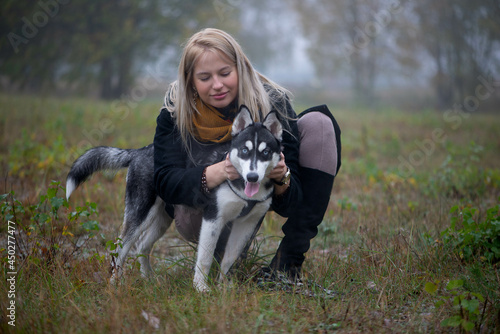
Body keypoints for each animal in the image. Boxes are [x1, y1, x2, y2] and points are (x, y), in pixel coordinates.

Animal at [66, 105, 282, 290]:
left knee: (142, 245)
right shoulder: (213, 218)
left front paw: (223, 287)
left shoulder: (247, 224)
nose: (252, 177)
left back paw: (149, 278)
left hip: (162, 219)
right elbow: (205, 258)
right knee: (120, 250)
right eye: (245, 150)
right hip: (140, 214)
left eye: (266, 152)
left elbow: (229, 259)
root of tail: (142, 150)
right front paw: (201, 288)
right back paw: (114, 284)